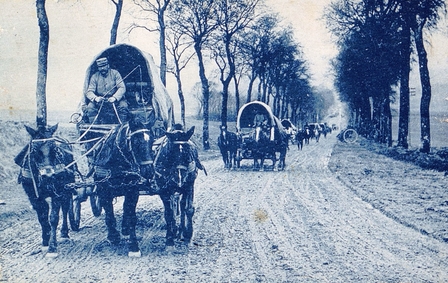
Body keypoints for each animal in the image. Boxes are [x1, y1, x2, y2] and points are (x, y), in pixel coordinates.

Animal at [14, 125, 79, 258]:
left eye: (54, 147)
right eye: (34, 149)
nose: (48, 176)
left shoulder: (57, 192)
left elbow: (53, 217)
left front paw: (52, 247)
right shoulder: (33, 197)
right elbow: (42, 217)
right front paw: (45, 240)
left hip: (66, 187)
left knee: (65, 208)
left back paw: (64, 232)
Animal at [90, 117, 155, 258]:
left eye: (152, 140)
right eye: (136, 141)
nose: (149, 171)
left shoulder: (133, 191)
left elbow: (131, 217)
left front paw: (134, 246)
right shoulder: (103, 191)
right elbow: (109, 215)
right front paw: (113, 236)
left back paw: (125, 228)